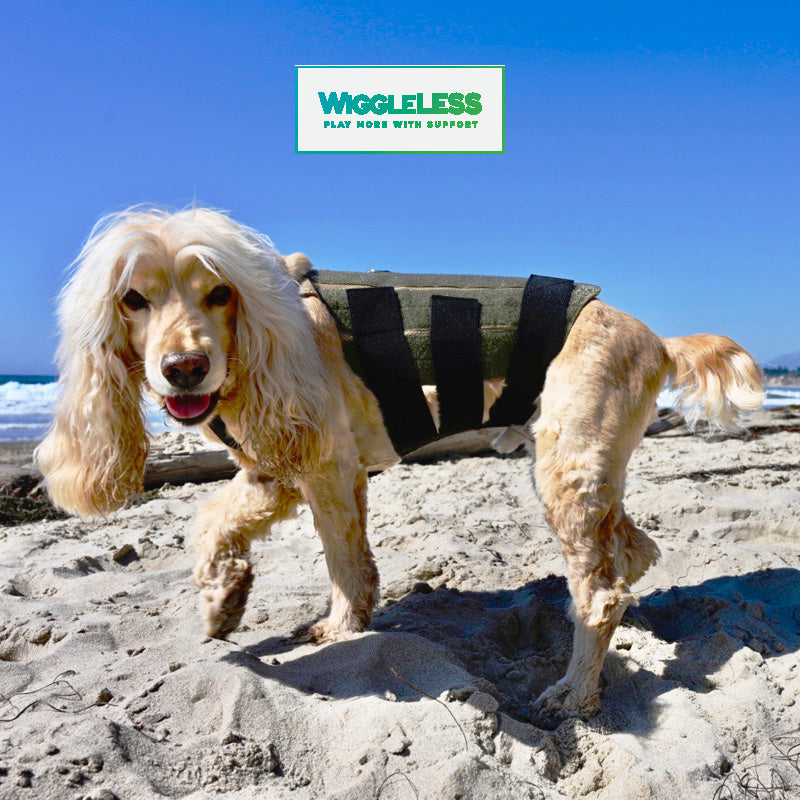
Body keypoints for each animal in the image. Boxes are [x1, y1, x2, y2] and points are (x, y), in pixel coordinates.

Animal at [36, 206, 764, 720]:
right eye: (133, 299)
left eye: (218, 293)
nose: (184, 368)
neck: (262, 340)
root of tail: (657, 338)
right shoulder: (273, 469)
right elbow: (211, 520)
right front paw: (222, 601)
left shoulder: (325, 466)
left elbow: (343, 561)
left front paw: (339, 629)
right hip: (585, 468)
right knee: (634, 551)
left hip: (567, 468)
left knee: (602, 589)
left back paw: (573, 692)